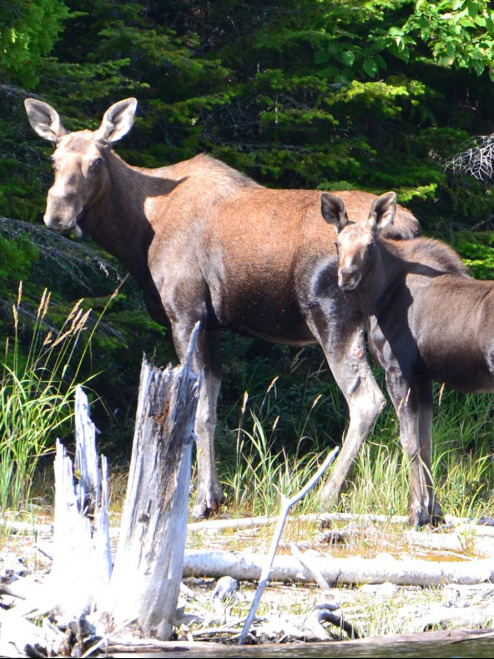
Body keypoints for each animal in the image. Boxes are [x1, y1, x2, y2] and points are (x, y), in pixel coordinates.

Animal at [25, 98, 420, 520]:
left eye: (97, 161)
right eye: (54, 159)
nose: (57, 216)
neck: (137, 234)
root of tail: (407, 227)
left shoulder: (185, 313)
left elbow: (196, 412)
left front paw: (201, 500)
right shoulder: (212, 325)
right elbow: (211, 410)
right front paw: (213, 493)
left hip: (332, 316)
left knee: (367, 400)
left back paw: (327, 495)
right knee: (409, 399)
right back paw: (420, 504)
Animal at [320, 189, 486, 524]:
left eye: (369, 246)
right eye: (337, 243)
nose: (346, 277)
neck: (377, 300)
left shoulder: (398, 369)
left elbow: (408, 442)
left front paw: (416, 513)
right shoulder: (423, 376)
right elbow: (426, 443)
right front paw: (433, 511)